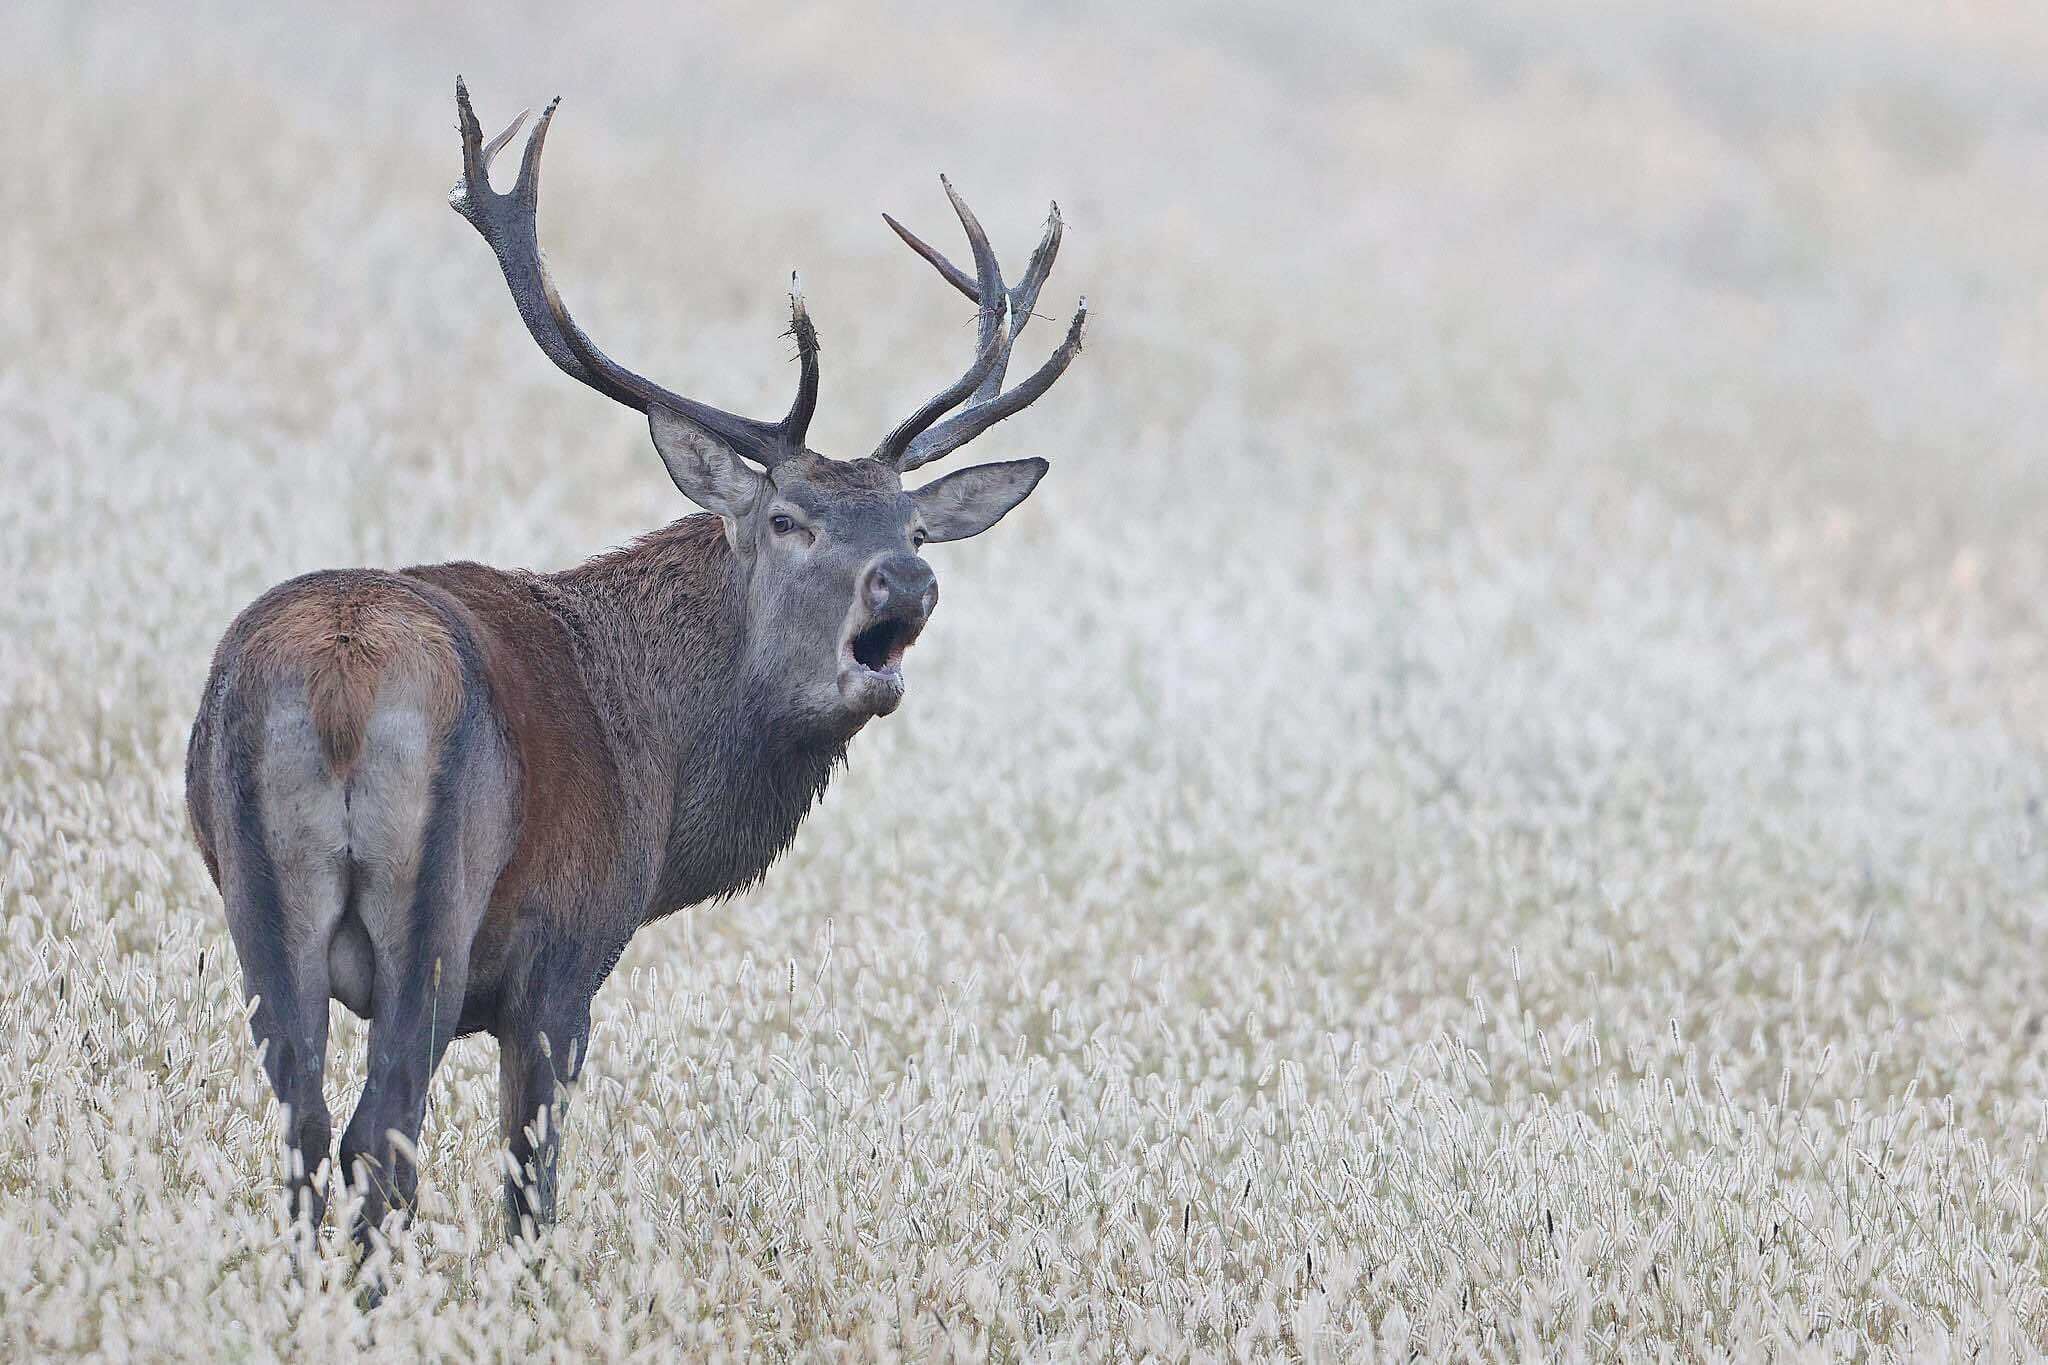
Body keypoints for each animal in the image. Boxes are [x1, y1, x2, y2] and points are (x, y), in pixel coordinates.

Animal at [183, 79, 1086, 1255]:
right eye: (788, 518)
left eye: (917, 527)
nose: (905, 582)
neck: (660, 779)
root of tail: (338, 683)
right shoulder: (562, 958)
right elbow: (531, 1190)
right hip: (436, 907)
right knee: (381, 1132)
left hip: (257, 901)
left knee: (299, 1128)